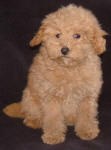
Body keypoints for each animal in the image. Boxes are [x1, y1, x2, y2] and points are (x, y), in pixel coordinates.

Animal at [3, 4, 106, 144]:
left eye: (77, 36)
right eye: (58, 35)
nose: (64, 50)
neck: (69, 68)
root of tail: (21, 106)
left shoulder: (88, 96)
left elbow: (87, 115)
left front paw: (87, 131)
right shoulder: (50, 96)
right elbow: (53, 118)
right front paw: (53, 136)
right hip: (30, 96)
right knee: (31, 112)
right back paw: (34, 121)